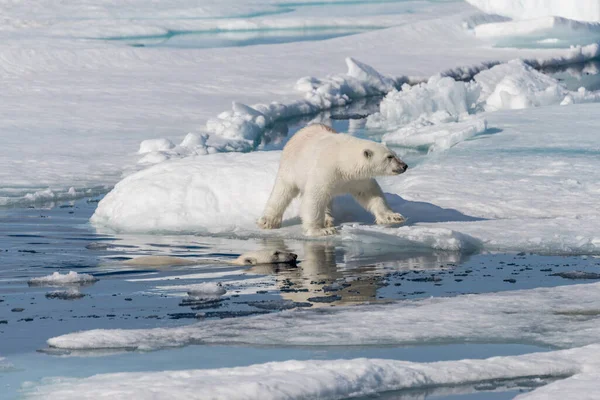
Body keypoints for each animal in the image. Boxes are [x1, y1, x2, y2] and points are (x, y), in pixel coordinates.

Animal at [256, 125, 408, 236]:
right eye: (389, 157)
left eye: (395, 154)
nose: (404, 166)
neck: (342, 161)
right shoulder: (325, 170)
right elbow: (314, 197)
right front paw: (321, 230)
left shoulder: (357, 179)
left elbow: (371, 194)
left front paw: (393, 217)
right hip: (290, 167)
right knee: (282, 192)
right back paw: (268, 221)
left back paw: (328, 218)